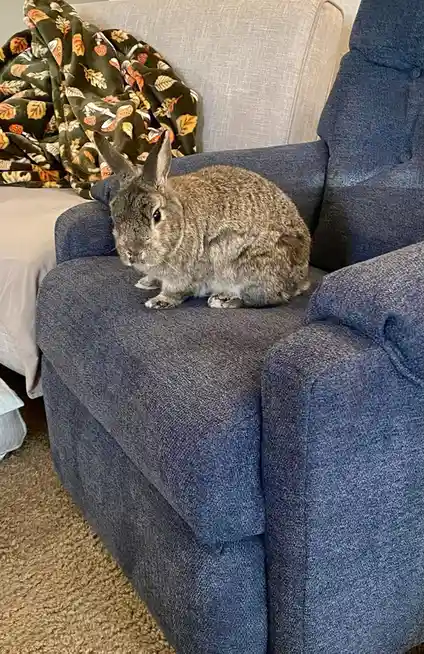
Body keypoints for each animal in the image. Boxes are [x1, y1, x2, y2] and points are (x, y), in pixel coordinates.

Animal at [94, 131, 311, 310]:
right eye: (114, 214)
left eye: (156, 215)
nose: (133, 252)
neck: (180, 223)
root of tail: (300, 279)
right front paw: (146, 282)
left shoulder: (183, 275)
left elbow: (176, 291)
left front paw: (158, 301)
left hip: (242, 264)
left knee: (264, 298)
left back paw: (221, 300)